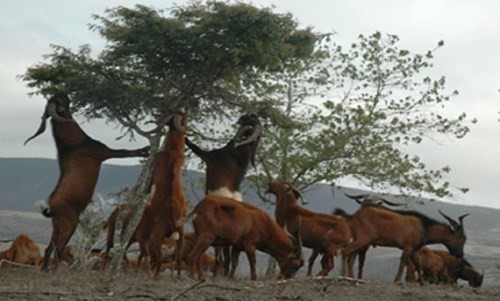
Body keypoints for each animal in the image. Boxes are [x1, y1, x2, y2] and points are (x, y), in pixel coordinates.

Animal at [24, 92, 148, 270]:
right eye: (59, 100)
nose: (65, 94)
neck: (74, 144)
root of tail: (52, 207)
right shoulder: (103, 153)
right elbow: (124, 152)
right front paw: (145, 151)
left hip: (57, 225)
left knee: (49, 248)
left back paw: (46, 269)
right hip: (69, 223)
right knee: (58, 249)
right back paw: (60, 269)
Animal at [125, 113, 188, 276]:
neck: (172, 152)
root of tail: (172, 217)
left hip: (156, 236)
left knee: (158, 258)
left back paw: (154, 276)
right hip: (181, 233)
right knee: (178, 257)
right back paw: (177, 277)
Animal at [340, 204, 468, 282]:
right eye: (462, 240)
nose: (460, 254)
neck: (425, 227)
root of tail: (354, 216)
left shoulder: (414, 249)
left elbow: (418, 264)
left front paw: (422, 282)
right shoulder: (408, 246)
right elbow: (403, 262)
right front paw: (396, 281)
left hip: (360, 240)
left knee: (351, 258)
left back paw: (351, 279)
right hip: (363, 239)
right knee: (345, 251)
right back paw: (343, 277)